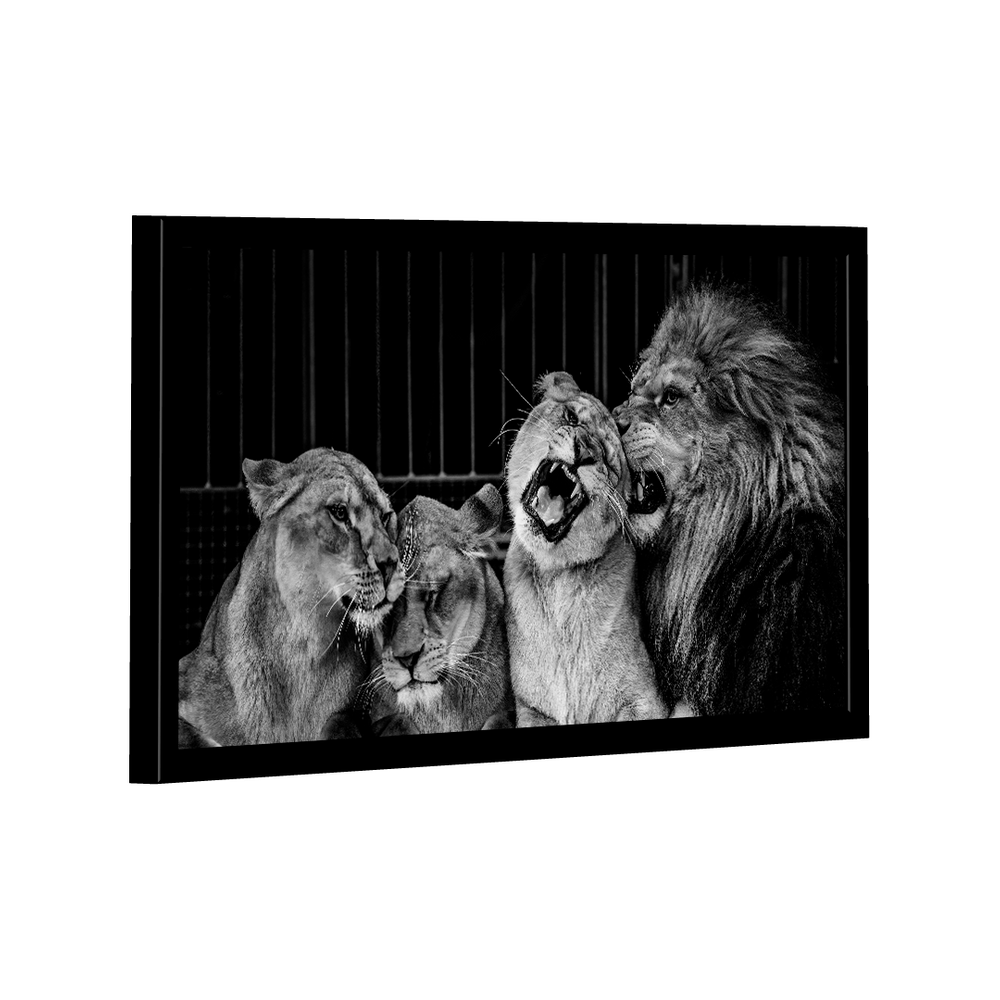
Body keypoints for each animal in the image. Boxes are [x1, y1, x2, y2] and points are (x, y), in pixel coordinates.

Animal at [178, 448, 402, 746]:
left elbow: (343, 721)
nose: (391, 564)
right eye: (339, 512)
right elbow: (193, 736)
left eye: (386, 516)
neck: (304, 643)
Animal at [504, 372, 668, 726]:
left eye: (607, 460)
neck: (559, 576)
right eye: (571, 418)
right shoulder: (531, 708)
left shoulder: (645, 700)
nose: (584, 452)